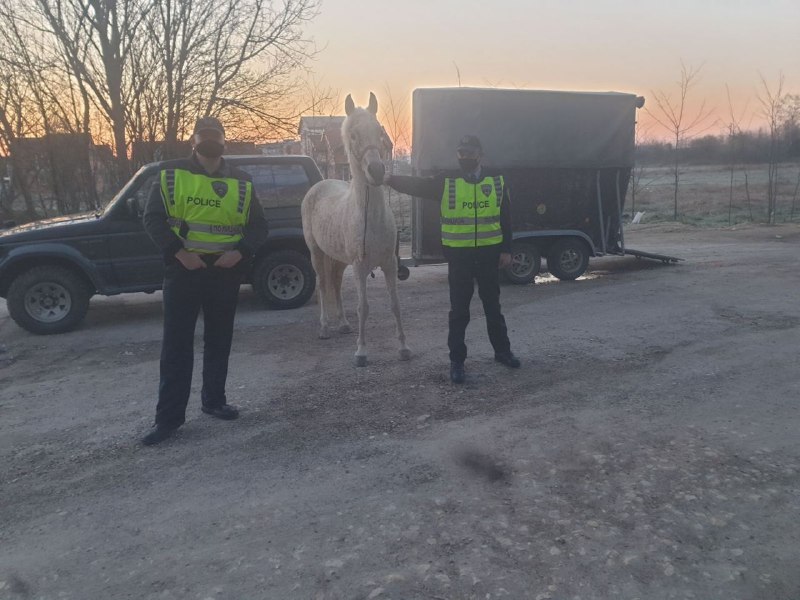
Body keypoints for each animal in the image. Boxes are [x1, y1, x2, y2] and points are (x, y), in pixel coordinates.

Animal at [302, 92, 412, 366]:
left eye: (379, 131)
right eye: (353, 135)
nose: (377, 171)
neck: (371, 219)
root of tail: (318, 187)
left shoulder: (389, 263)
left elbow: (395, 304)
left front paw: (404, 348)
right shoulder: (360, 267)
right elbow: (364, 307)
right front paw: (361, 352)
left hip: (340, 260)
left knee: (336, 284)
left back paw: (343, 324)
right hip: (317, 253)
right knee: (323, 285)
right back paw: (324, 328)